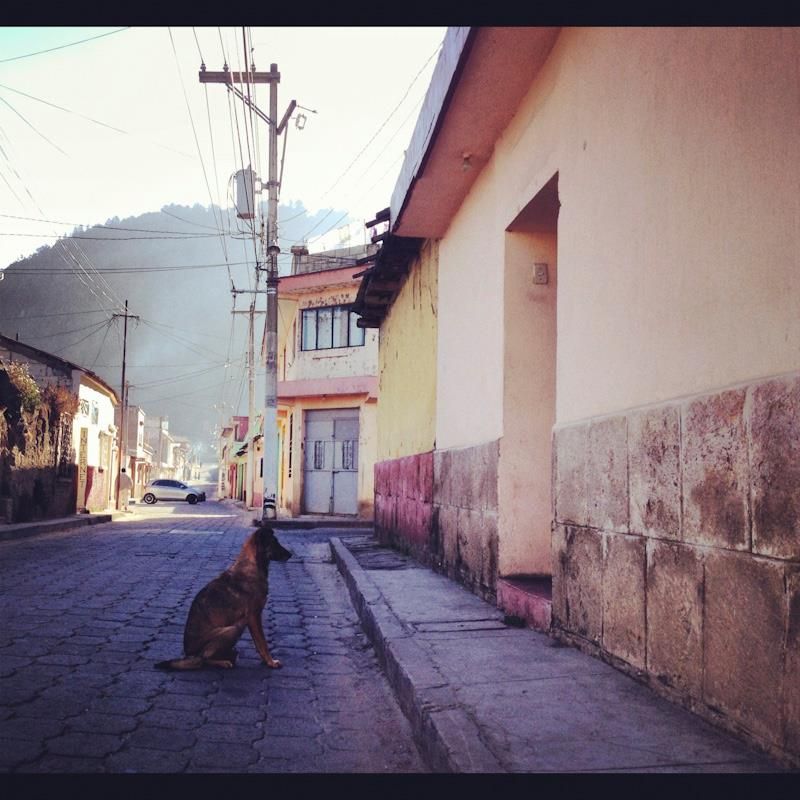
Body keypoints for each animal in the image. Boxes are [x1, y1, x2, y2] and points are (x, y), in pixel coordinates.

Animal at [155, 524, 292, 668]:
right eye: (274, 542)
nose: (291, 555)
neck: (252, 565)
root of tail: (188, 654)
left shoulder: (252, 618)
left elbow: (258, 644)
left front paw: (266, 661)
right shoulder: (254, 616)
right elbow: (262, 643)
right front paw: (270, 662)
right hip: (232, 629)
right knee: (202, 659)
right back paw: (223, 662)